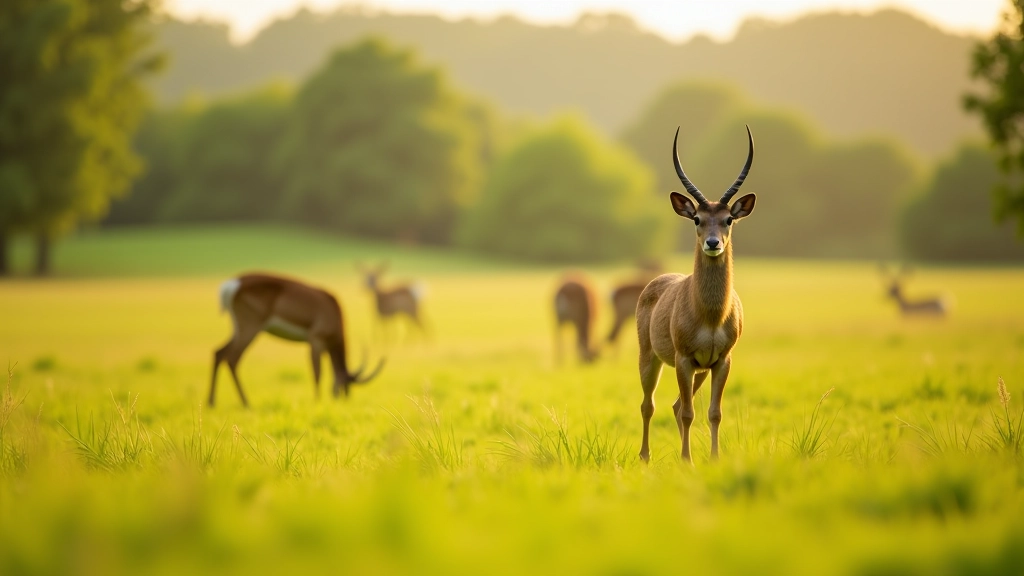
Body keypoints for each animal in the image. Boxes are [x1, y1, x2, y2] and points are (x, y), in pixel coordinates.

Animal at [210, 273, 385, 407]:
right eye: (346, 385)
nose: (344, 399)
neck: (333, 309)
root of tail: (233, 284)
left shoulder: (322, 346)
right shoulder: (316, 340)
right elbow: (317, 371)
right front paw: (317, 401)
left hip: (238, 329)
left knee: (219, 352)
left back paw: (211, 402)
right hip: (250, 328)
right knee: (232, 358)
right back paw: (246, 403)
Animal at [636, 126, 756, 463]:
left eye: (728, 218)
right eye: (697, 219)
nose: (713, 243)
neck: (711, 314)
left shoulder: (721, 361)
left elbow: (713, 413)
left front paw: (713, 459)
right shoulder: (684, 359)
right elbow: (690, 413)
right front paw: (687, 461)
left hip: (699, 370)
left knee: (676, 405)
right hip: (650, 357)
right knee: (649, 405)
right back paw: (645, 456)